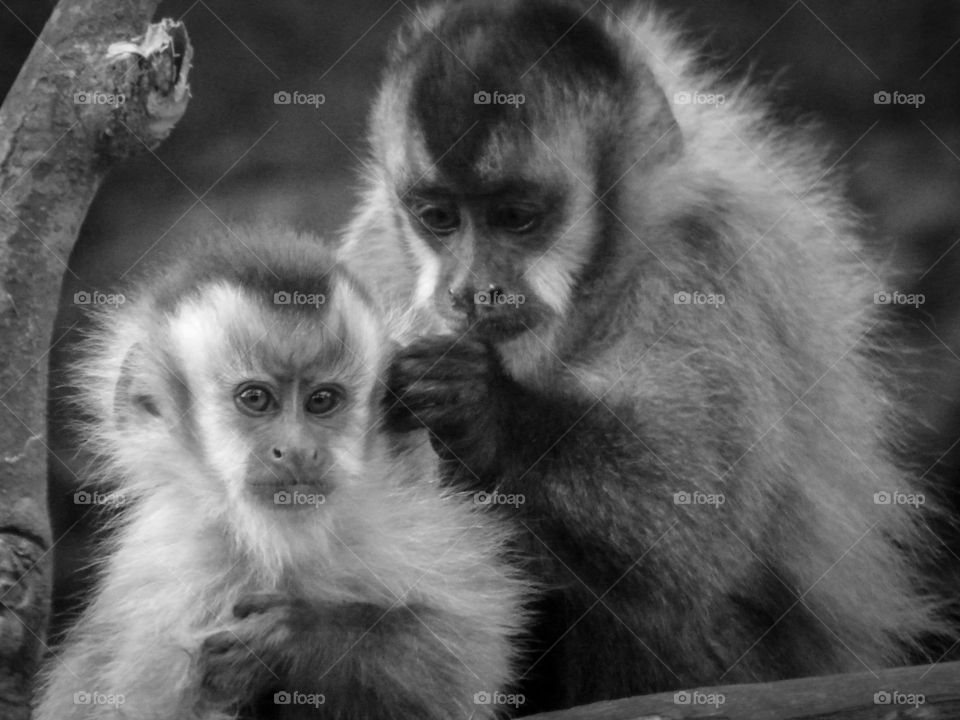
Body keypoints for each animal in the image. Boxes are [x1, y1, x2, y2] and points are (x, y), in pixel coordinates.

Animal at [33, 228, 528, 720]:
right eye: (256, 399)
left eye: (321, 401)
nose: (296, 450)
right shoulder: (175, 563)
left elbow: (468, 654)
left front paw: (292, 638)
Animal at [338, 0, 944, 708]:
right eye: (439, 218)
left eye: (516, 218)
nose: (471, 289)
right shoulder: (374, 253)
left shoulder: (699, 256)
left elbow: (685, 529)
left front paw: (483, 408)